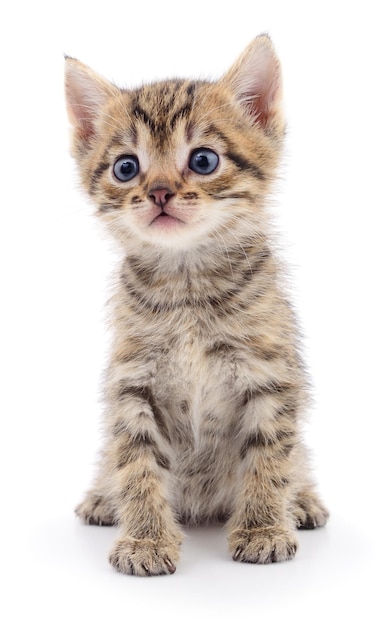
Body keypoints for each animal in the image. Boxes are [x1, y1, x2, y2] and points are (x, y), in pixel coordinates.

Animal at [64, 35, 326, 576]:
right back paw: (103, 496)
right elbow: (136, 462)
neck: (186, 282)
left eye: (203, 160)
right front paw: (145, 539)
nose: (160, 192)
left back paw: (304, 499)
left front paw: (264, 528)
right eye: (126, 167)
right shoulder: (133, 383)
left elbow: (271, 455)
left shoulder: (270, 375)